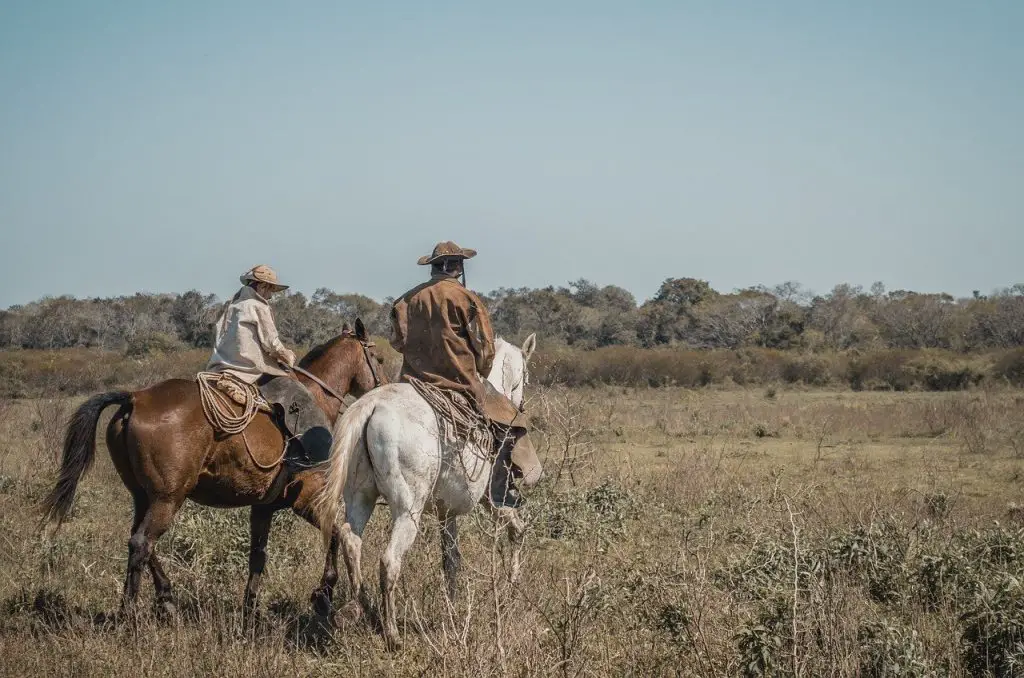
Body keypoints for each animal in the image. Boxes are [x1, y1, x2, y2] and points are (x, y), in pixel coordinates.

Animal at [40, 319, 387, 622]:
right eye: (379, 358)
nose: (384, 387)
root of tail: (135, 398)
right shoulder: (306, 498)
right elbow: (336, 533)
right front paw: (323, 594)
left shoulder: (263, 507)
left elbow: (258, 556)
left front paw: (251, 608)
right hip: (168, 498)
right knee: (142, 544)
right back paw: (130, 613)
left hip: (143, 497)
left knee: (139, 541)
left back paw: (166, 599)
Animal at [317, 337, 544, 651]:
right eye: (525, 376)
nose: (520, 402)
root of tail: (371, 406)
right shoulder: (493, 501)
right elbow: (517, 531)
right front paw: (512, 586)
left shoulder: (446, 513)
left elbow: (451, 560)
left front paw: (452, 607)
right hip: (408, 510)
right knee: (389, 561)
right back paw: (391, 634)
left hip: (359, 498)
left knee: (351, 540)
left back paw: (363, 609)